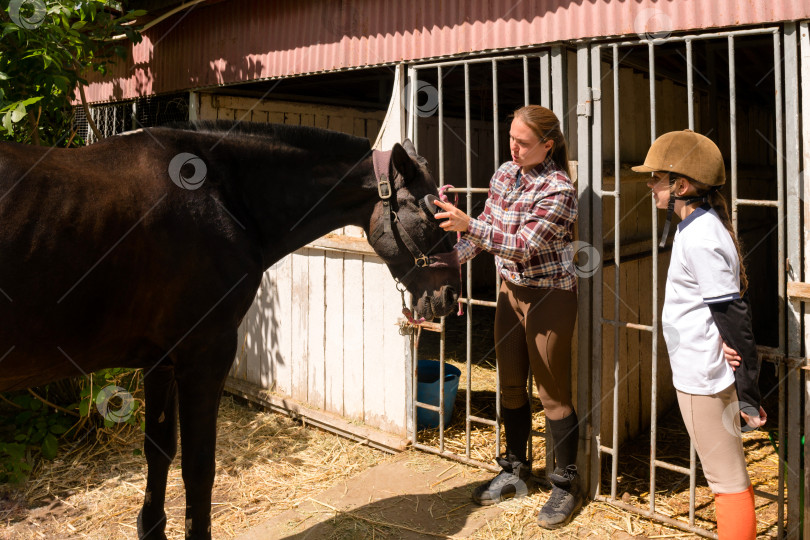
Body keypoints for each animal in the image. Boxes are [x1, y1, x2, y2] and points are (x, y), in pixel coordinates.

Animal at [0, 123, 458, 540]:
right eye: (431, 214)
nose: (450, 296)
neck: (222, 196)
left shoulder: (160, 362)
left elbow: (159, 451)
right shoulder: (205, 355)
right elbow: (199, 467)